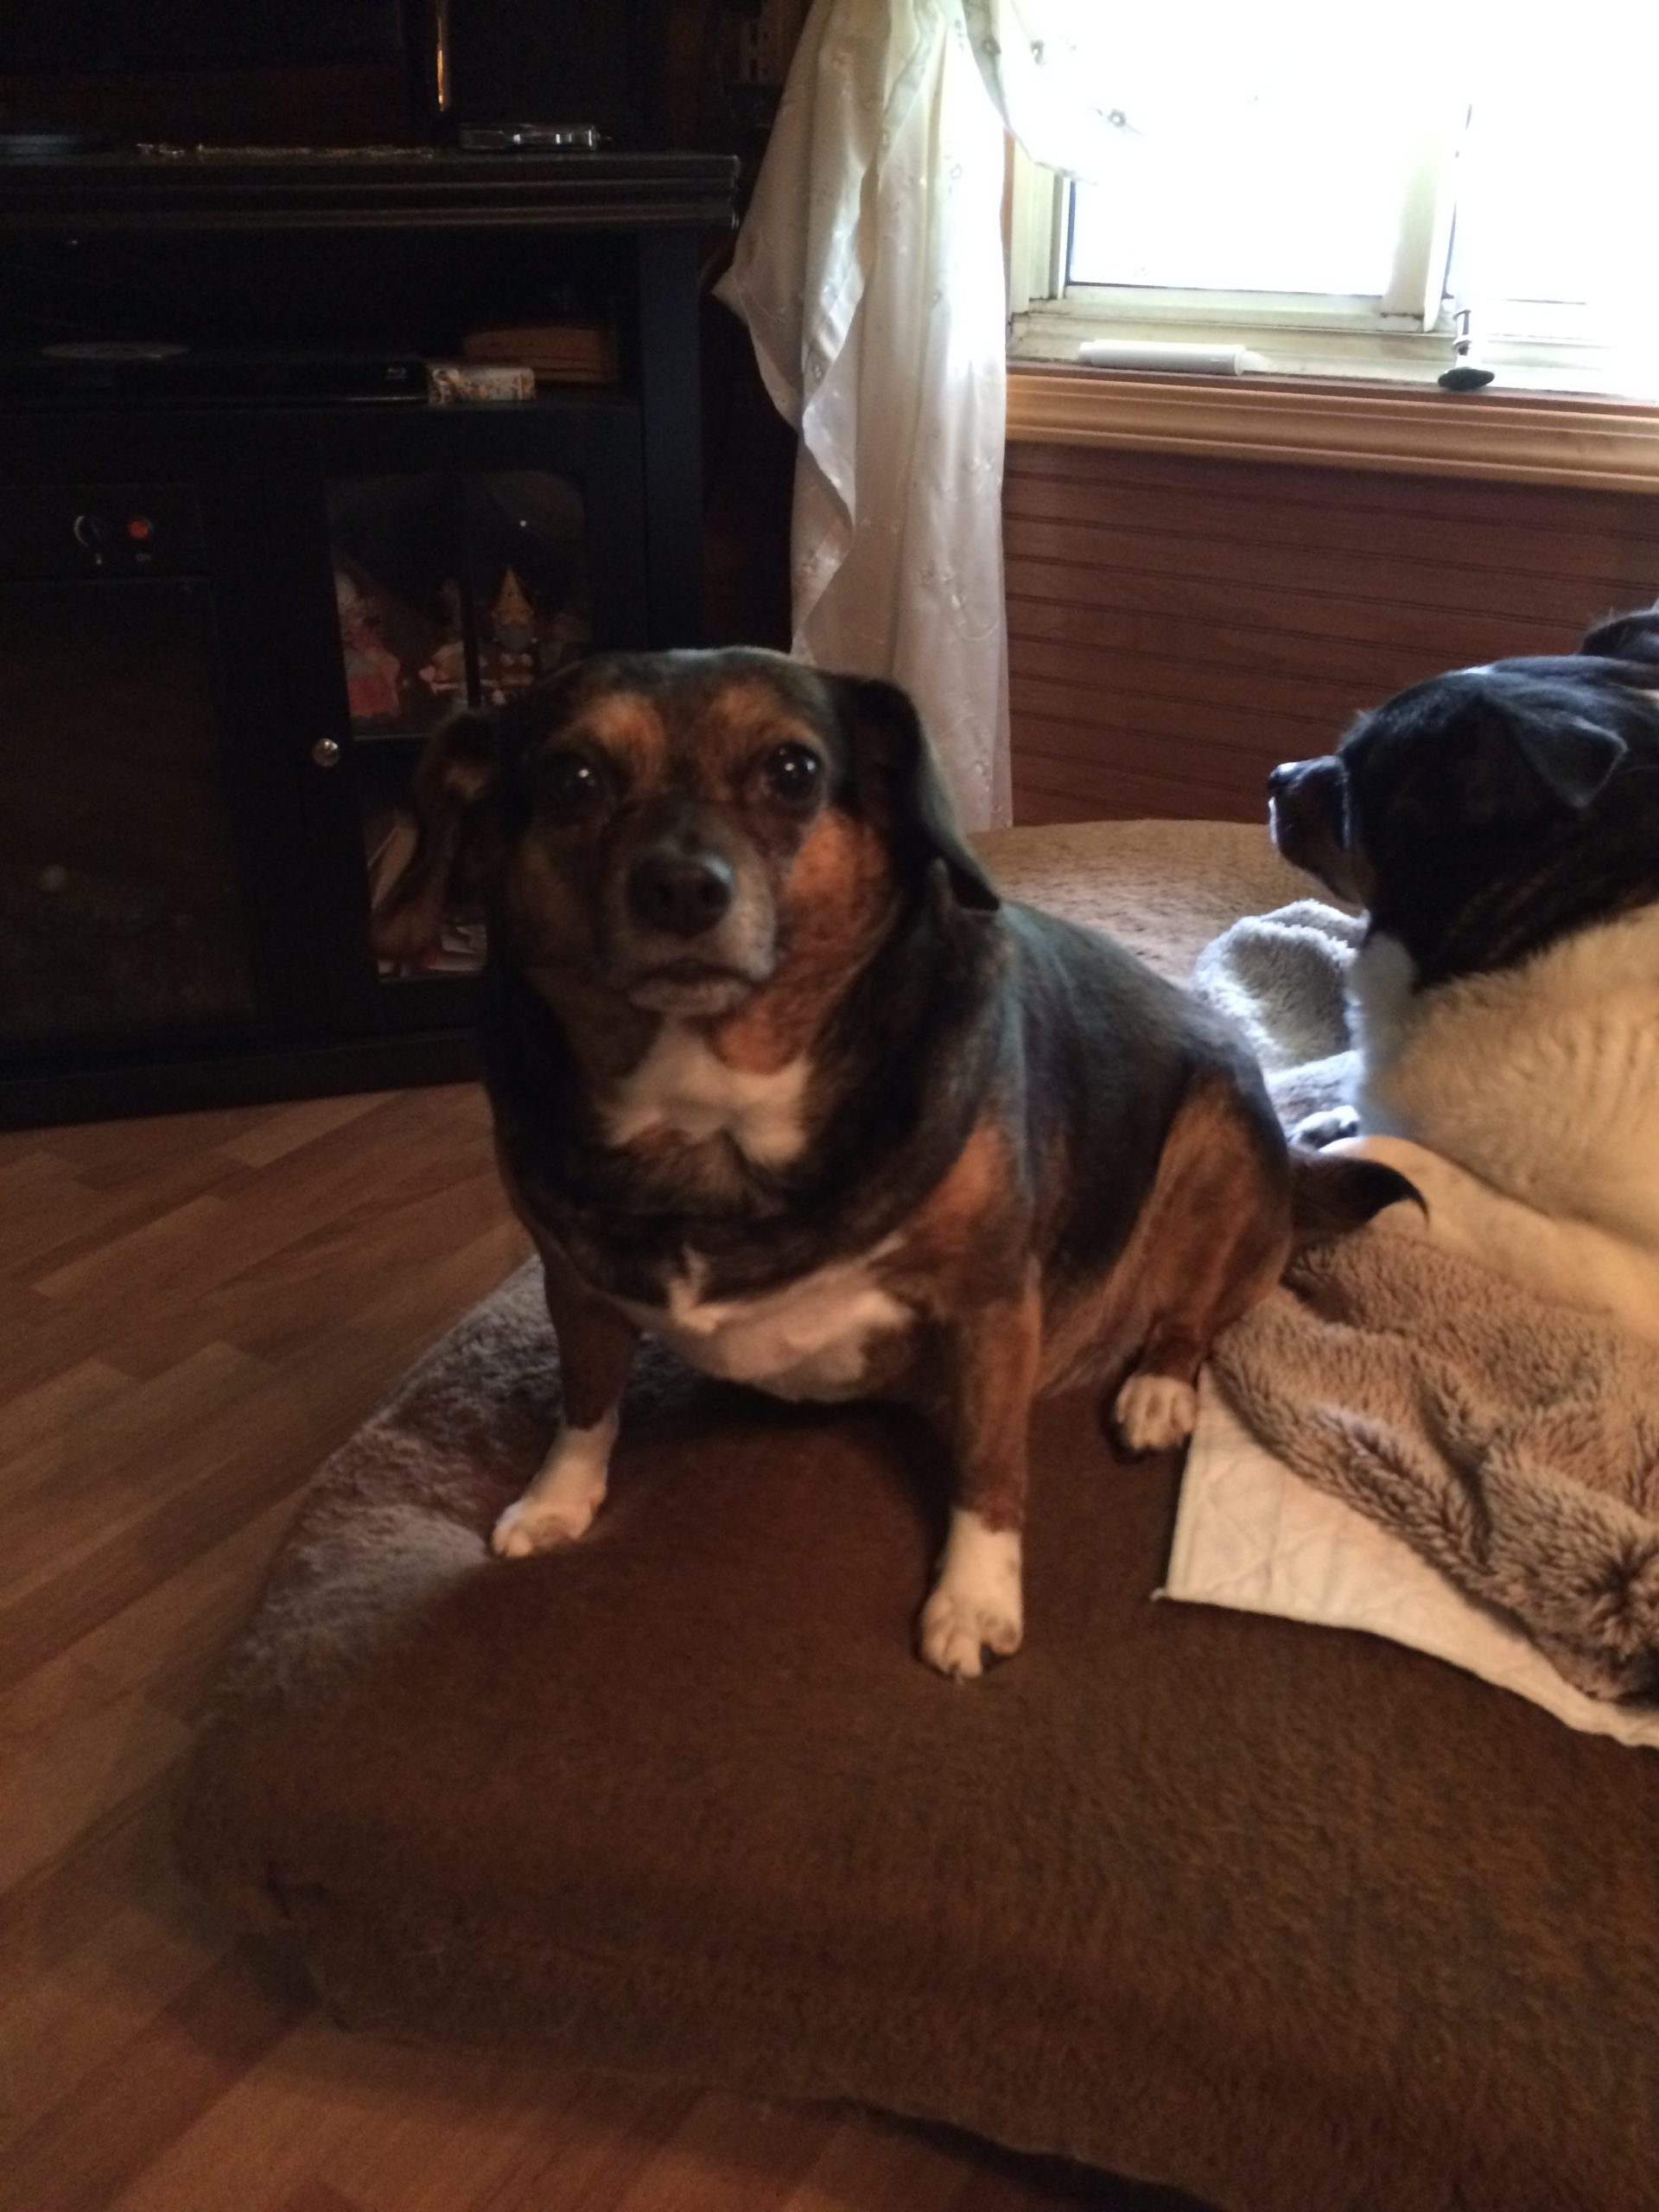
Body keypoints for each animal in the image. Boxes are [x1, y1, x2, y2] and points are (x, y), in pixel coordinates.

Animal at [376, 647, 1406, 1678]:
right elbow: (586, 1400)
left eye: (793, 771)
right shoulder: (575, 1283)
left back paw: (1158, 1390)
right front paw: (556, 1498)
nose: (680, 890)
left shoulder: (991, 1301)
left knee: (1193, 1313)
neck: (712, 1121)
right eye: (571, 779)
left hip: (1216, 1137)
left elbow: (989, 1465)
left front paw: (975, 1598)